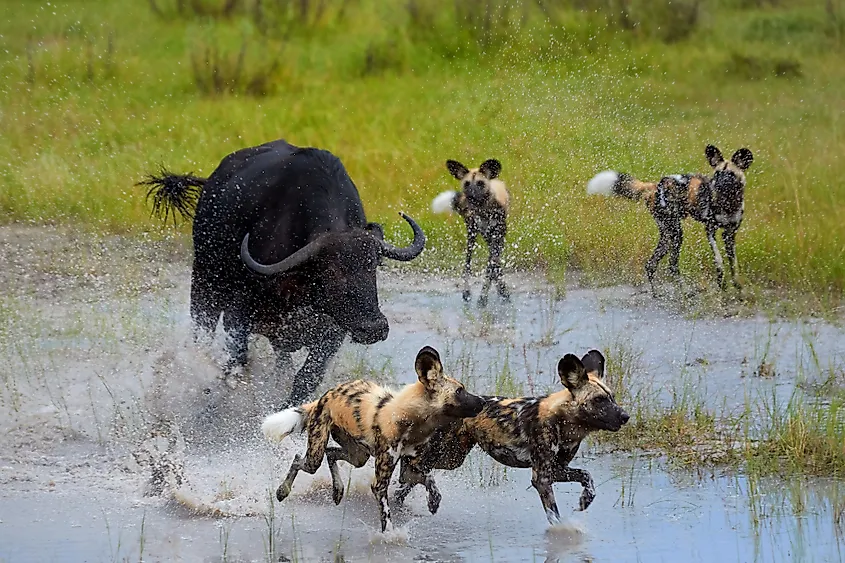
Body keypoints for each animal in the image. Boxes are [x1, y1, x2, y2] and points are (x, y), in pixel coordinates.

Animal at [143, 139, 428, 408]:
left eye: (373, 266)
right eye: (330, 271)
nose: (374, 327)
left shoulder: (332, 332)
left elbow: (305, 378)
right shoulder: (238, 315)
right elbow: (236, 365)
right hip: (205, 284)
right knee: (202, 336)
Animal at [260, 346, 482, 536]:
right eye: (460, 391)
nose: (483, 401)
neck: (412, 420)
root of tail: (326, 395)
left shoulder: (409, 471)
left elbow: (430, 481)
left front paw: (433, 502)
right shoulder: (380, 483)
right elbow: (386, 513)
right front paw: (390, 536)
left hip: (359, 456)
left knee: (331, 453)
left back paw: (337, 491)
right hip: (316, 456)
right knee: (300, 459)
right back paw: (282, 491)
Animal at [390, 350, 628, 528]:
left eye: (612, 398)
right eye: (599, 400)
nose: (625, 416)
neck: (564, 422)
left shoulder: (557, 470)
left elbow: (587, 476)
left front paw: (586, 500)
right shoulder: (542, 478)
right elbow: (554, 515)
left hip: (450, 458)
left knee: (408, 476)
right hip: (444, 455)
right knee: (414, 470)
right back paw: (428, 499)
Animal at [432, 159, 512, 308]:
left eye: (480, 183)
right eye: (466, 184)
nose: (471, 196)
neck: (483, 210)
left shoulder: (497, 237)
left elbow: (491, 267)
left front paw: (486, 297)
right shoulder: (480, 234)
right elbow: (488, 267)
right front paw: (482, 297)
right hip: (472, 236)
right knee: (468, 265)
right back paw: (470, 292)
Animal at [584, 144, 756, 296]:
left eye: (731, 175)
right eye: (717, 174)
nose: (716, 185)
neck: (728, 203)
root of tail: (653, 186)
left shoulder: (729, 235)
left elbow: (734, 265)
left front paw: (738, 287)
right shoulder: (710, 231)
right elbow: (719, 260)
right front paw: (722, 284)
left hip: (668, 235)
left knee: (651, 264)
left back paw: (657, 294)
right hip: (676, 233)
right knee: (671, 265)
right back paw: (684, 292)